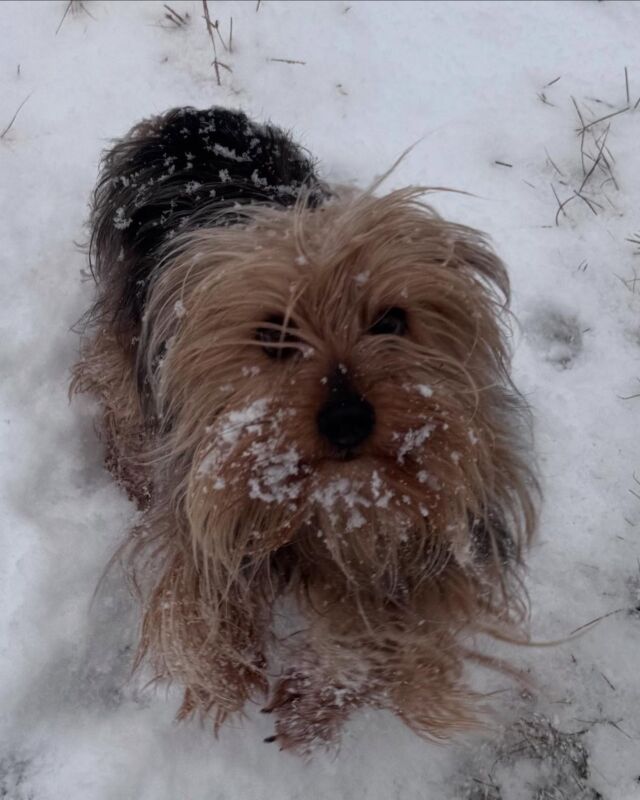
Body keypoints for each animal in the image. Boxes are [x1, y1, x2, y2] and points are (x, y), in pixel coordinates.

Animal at [72, 108, 536, 756]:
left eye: (391, 321)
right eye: (273, 333)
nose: (347, 420)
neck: (331, 497)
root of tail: (195, 115)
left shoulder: (444, 541)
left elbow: (405, 633)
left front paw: (318, 702)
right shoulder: (202, 484)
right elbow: (195, 594)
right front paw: (231, 666)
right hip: (125, 329)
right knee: (110, 383)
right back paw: (129, 468)